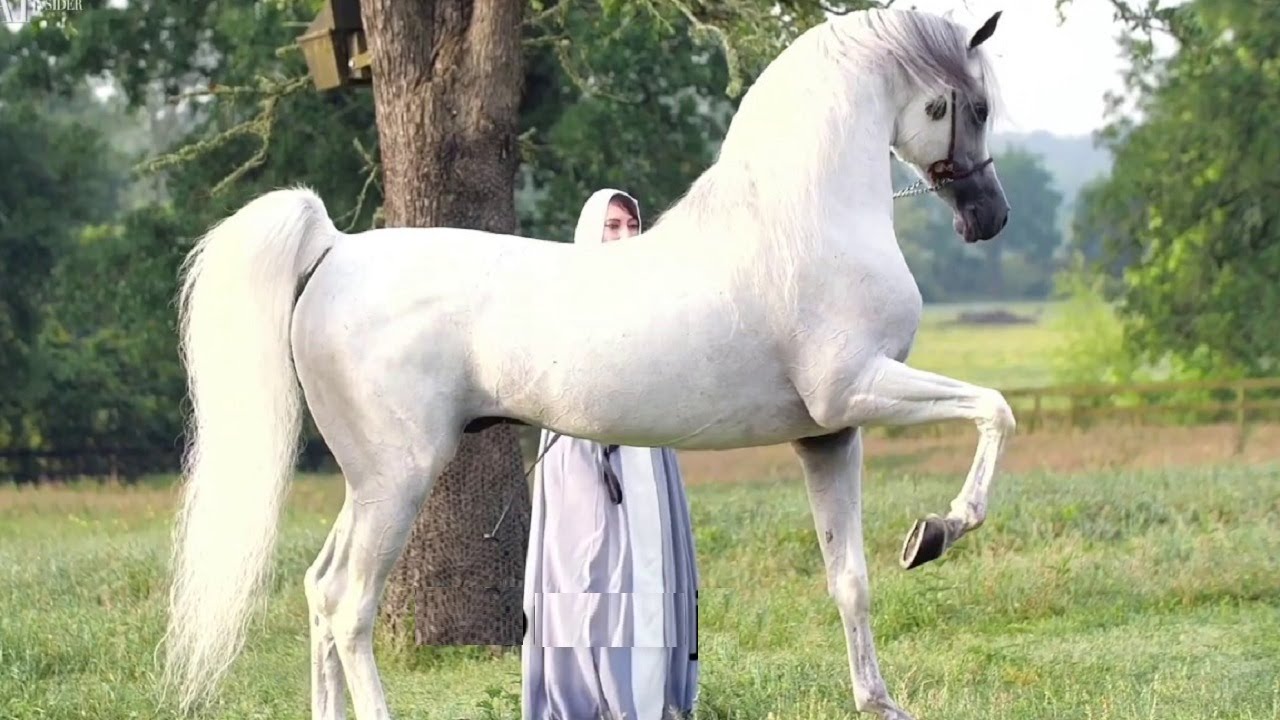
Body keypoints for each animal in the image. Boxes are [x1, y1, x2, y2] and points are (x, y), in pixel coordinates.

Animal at [167, 7, 1008, 717]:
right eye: (974, 105)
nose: (989, 216)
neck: (800, 221)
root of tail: (334, 250)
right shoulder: (860, 391)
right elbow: (995, 410)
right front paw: (940, 530)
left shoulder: (828, 435)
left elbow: (850, 578)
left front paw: (880, 698)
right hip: (397, 478)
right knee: (348, 602)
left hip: (368, 481)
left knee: (317, 591)